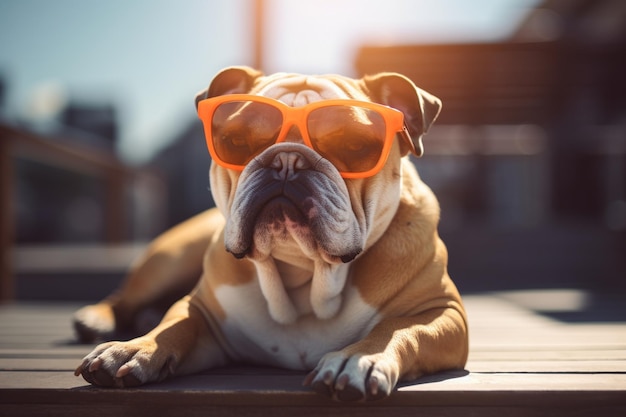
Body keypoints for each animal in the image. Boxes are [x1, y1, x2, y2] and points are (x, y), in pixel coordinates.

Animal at [73, 65, 466, 400]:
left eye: (354, 145)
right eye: (236, 141)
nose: (287, 161)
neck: (305, 277)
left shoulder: (443, 313)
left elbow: (398, 329)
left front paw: (359, 359)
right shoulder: (204, 313)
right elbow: (175, 325)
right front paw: (135, 348)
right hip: (170, 259)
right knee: (126, 297)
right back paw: (98, 319)